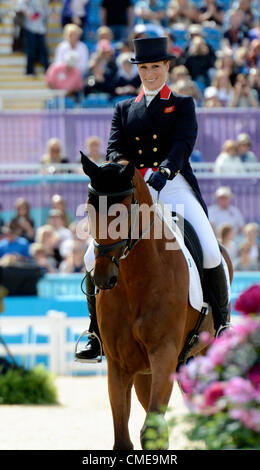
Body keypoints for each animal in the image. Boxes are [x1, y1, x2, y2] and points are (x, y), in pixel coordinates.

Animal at [80, 152, 233, 450]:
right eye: (90, 209)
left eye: (122, 212)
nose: (103, 277)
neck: (134, 282)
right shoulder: (119, 363)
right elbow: (124, 439)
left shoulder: (164, 352)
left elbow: (152, 430)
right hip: (146, 371)